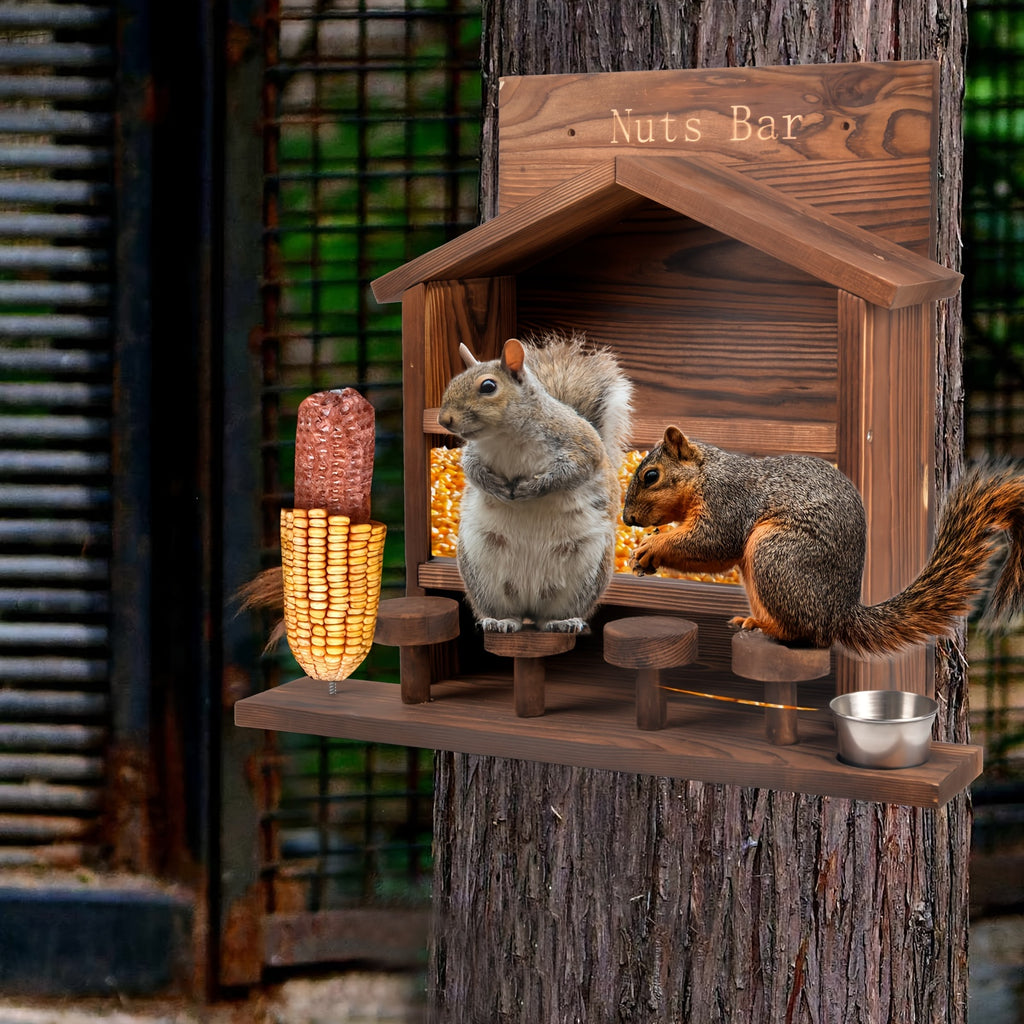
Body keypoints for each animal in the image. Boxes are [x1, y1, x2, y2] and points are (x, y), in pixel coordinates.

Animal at [438, 332, 632, 633]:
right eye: (453, 380)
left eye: (488, 386)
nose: (444, 419)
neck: (504, 436)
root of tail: (530, 604)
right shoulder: (474, 453)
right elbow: (472, 470)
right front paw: (494, 486)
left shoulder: (581, 446)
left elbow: (570, 472)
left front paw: (532, 489)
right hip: (481, 573)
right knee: (509, 613)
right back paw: (501, 621)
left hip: (587, 572)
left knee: (551, 615)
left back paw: (563, 621)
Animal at [622, 425, 1024, 657]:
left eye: (651, 476)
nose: (627, 519)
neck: (706, 474)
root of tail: (840, 613)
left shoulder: (728, 502)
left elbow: (713, 543)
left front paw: (651, 548)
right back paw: (754, 621)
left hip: (774, 554)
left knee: (810, 636)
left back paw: (770, 628)